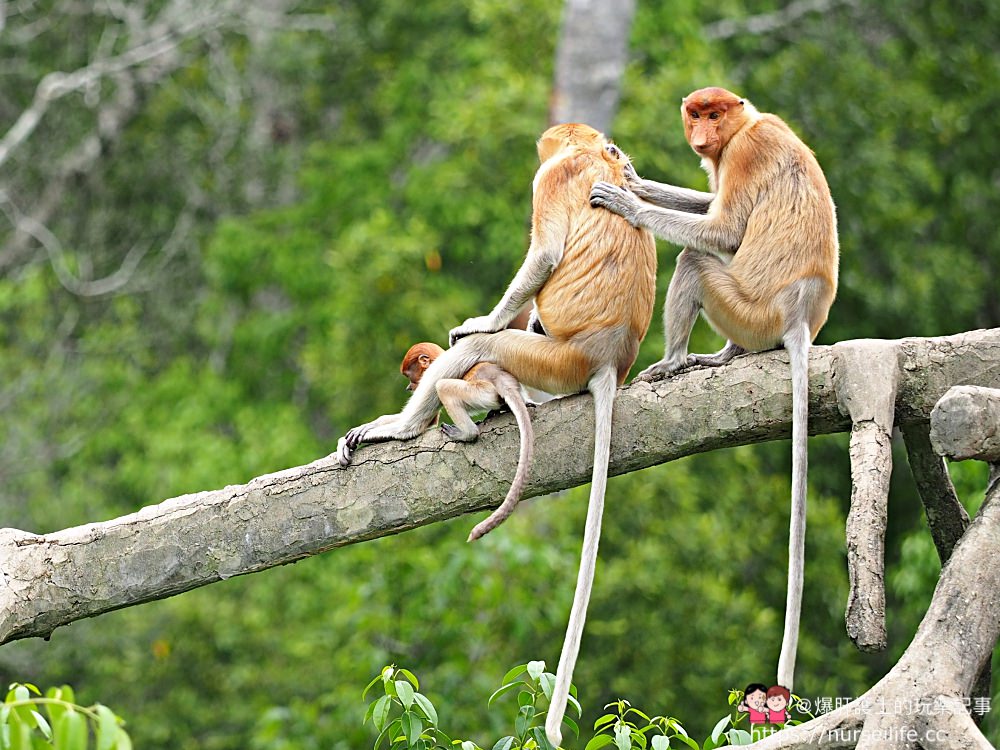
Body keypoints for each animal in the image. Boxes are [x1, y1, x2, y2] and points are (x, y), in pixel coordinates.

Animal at [400, 344, 536, 544]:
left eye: (410, 376)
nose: (409, 387)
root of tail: (499, 377)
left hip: (480, 392)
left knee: (444, 387)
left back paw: (467, 433)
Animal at [588, 86, 840, 692]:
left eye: (715, 114)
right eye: (696, 114)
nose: (702, 135)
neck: (745, 126)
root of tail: (800, 318)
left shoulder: (745, 153)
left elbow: (723, 230)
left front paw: (626, 201)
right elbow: (709, 208)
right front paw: (631, 177)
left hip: (748, 310)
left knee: (697, 259)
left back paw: (674, 362)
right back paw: (721, 358)